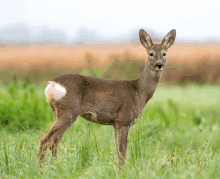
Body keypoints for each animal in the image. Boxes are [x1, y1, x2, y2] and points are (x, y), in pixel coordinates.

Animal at [37, 28, 175, 169]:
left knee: (54, 142)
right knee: (45, 140)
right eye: (151, 53)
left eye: (164, 53)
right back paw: (40, 168)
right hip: (68, 111)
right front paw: (122, 170)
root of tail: (52, 84)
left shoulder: (115, 123)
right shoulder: (124, 119)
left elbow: (118, 150)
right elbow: (122, 151)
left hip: (58, 112)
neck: (139, 91)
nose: (159, 64)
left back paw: (56, 166)